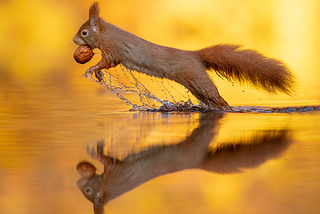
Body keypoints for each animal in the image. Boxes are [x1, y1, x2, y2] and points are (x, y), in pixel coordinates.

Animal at [72, 2, 296, 110]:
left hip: (198, 79)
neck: (106, 33)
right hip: (196, 86)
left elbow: (109, 61)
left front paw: (93, 69)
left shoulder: (114, 48)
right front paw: (98, 74)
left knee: (218, 98)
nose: (74, 40)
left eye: (84, 32)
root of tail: (195, 55)